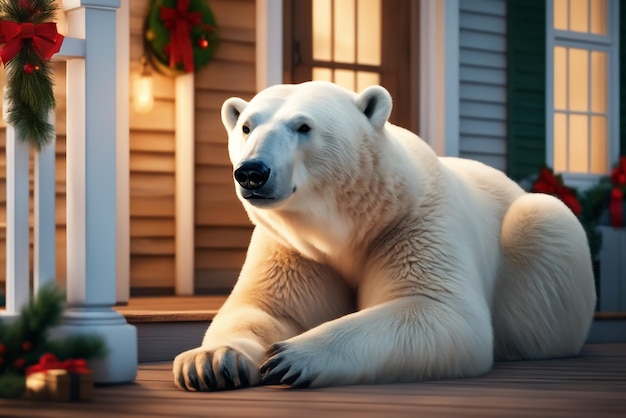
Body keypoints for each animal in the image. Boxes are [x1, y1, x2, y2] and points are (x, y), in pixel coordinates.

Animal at [172, 81, 596, 392]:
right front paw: (209, 362)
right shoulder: (293, 248)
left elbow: (437, 311)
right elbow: (266, 308)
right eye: (246, 126)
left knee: (545, 224)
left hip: (539, 247)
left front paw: (289, 358)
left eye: (303, 126)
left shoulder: (414, 225)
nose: (252, 172)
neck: (354, 222)